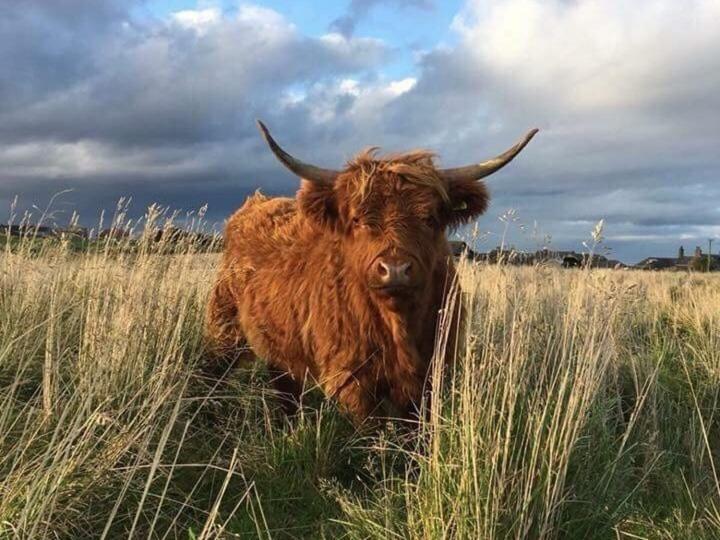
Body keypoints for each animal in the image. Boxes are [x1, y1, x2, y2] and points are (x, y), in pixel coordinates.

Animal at [205, 120, 536, 424]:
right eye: (357, 220)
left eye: (429, 218)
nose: (395, 269)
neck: (399, 326)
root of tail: (254, 204)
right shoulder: (352, 379)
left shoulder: (430, 376)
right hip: (225, 327)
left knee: (285, 383)